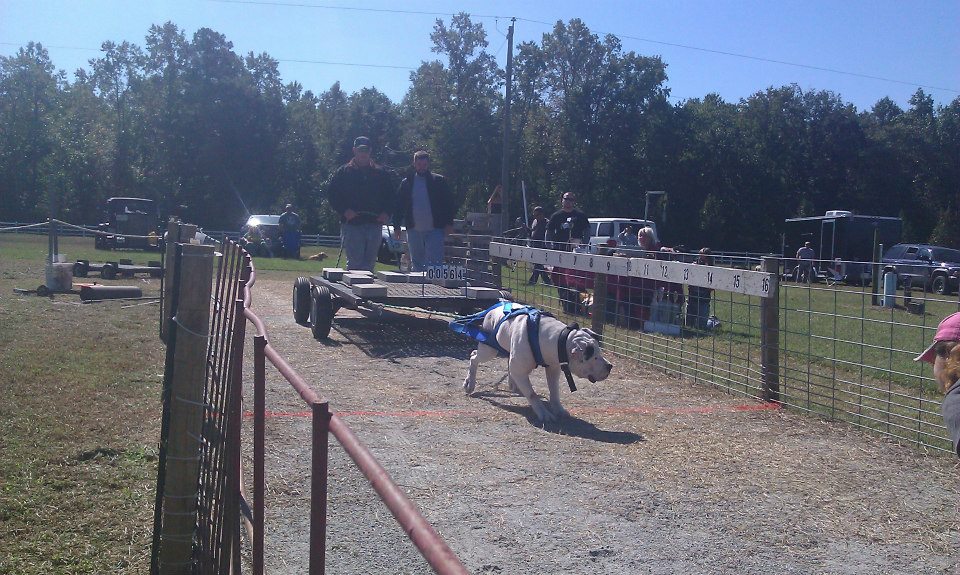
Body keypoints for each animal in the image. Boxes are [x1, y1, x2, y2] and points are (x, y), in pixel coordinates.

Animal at [462, 306, 612, 424]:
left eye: (600, 353)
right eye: (594, 357)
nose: (610, 366)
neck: (555, 340)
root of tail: (494, 308)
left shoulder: (553, 368)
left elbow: (554, 391)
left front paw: (558, 409)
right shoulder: (521, 370)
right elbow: (532, 394)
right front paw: (543, 413)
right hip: (489, 350)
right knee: (474, 357)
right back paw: (470, 383)